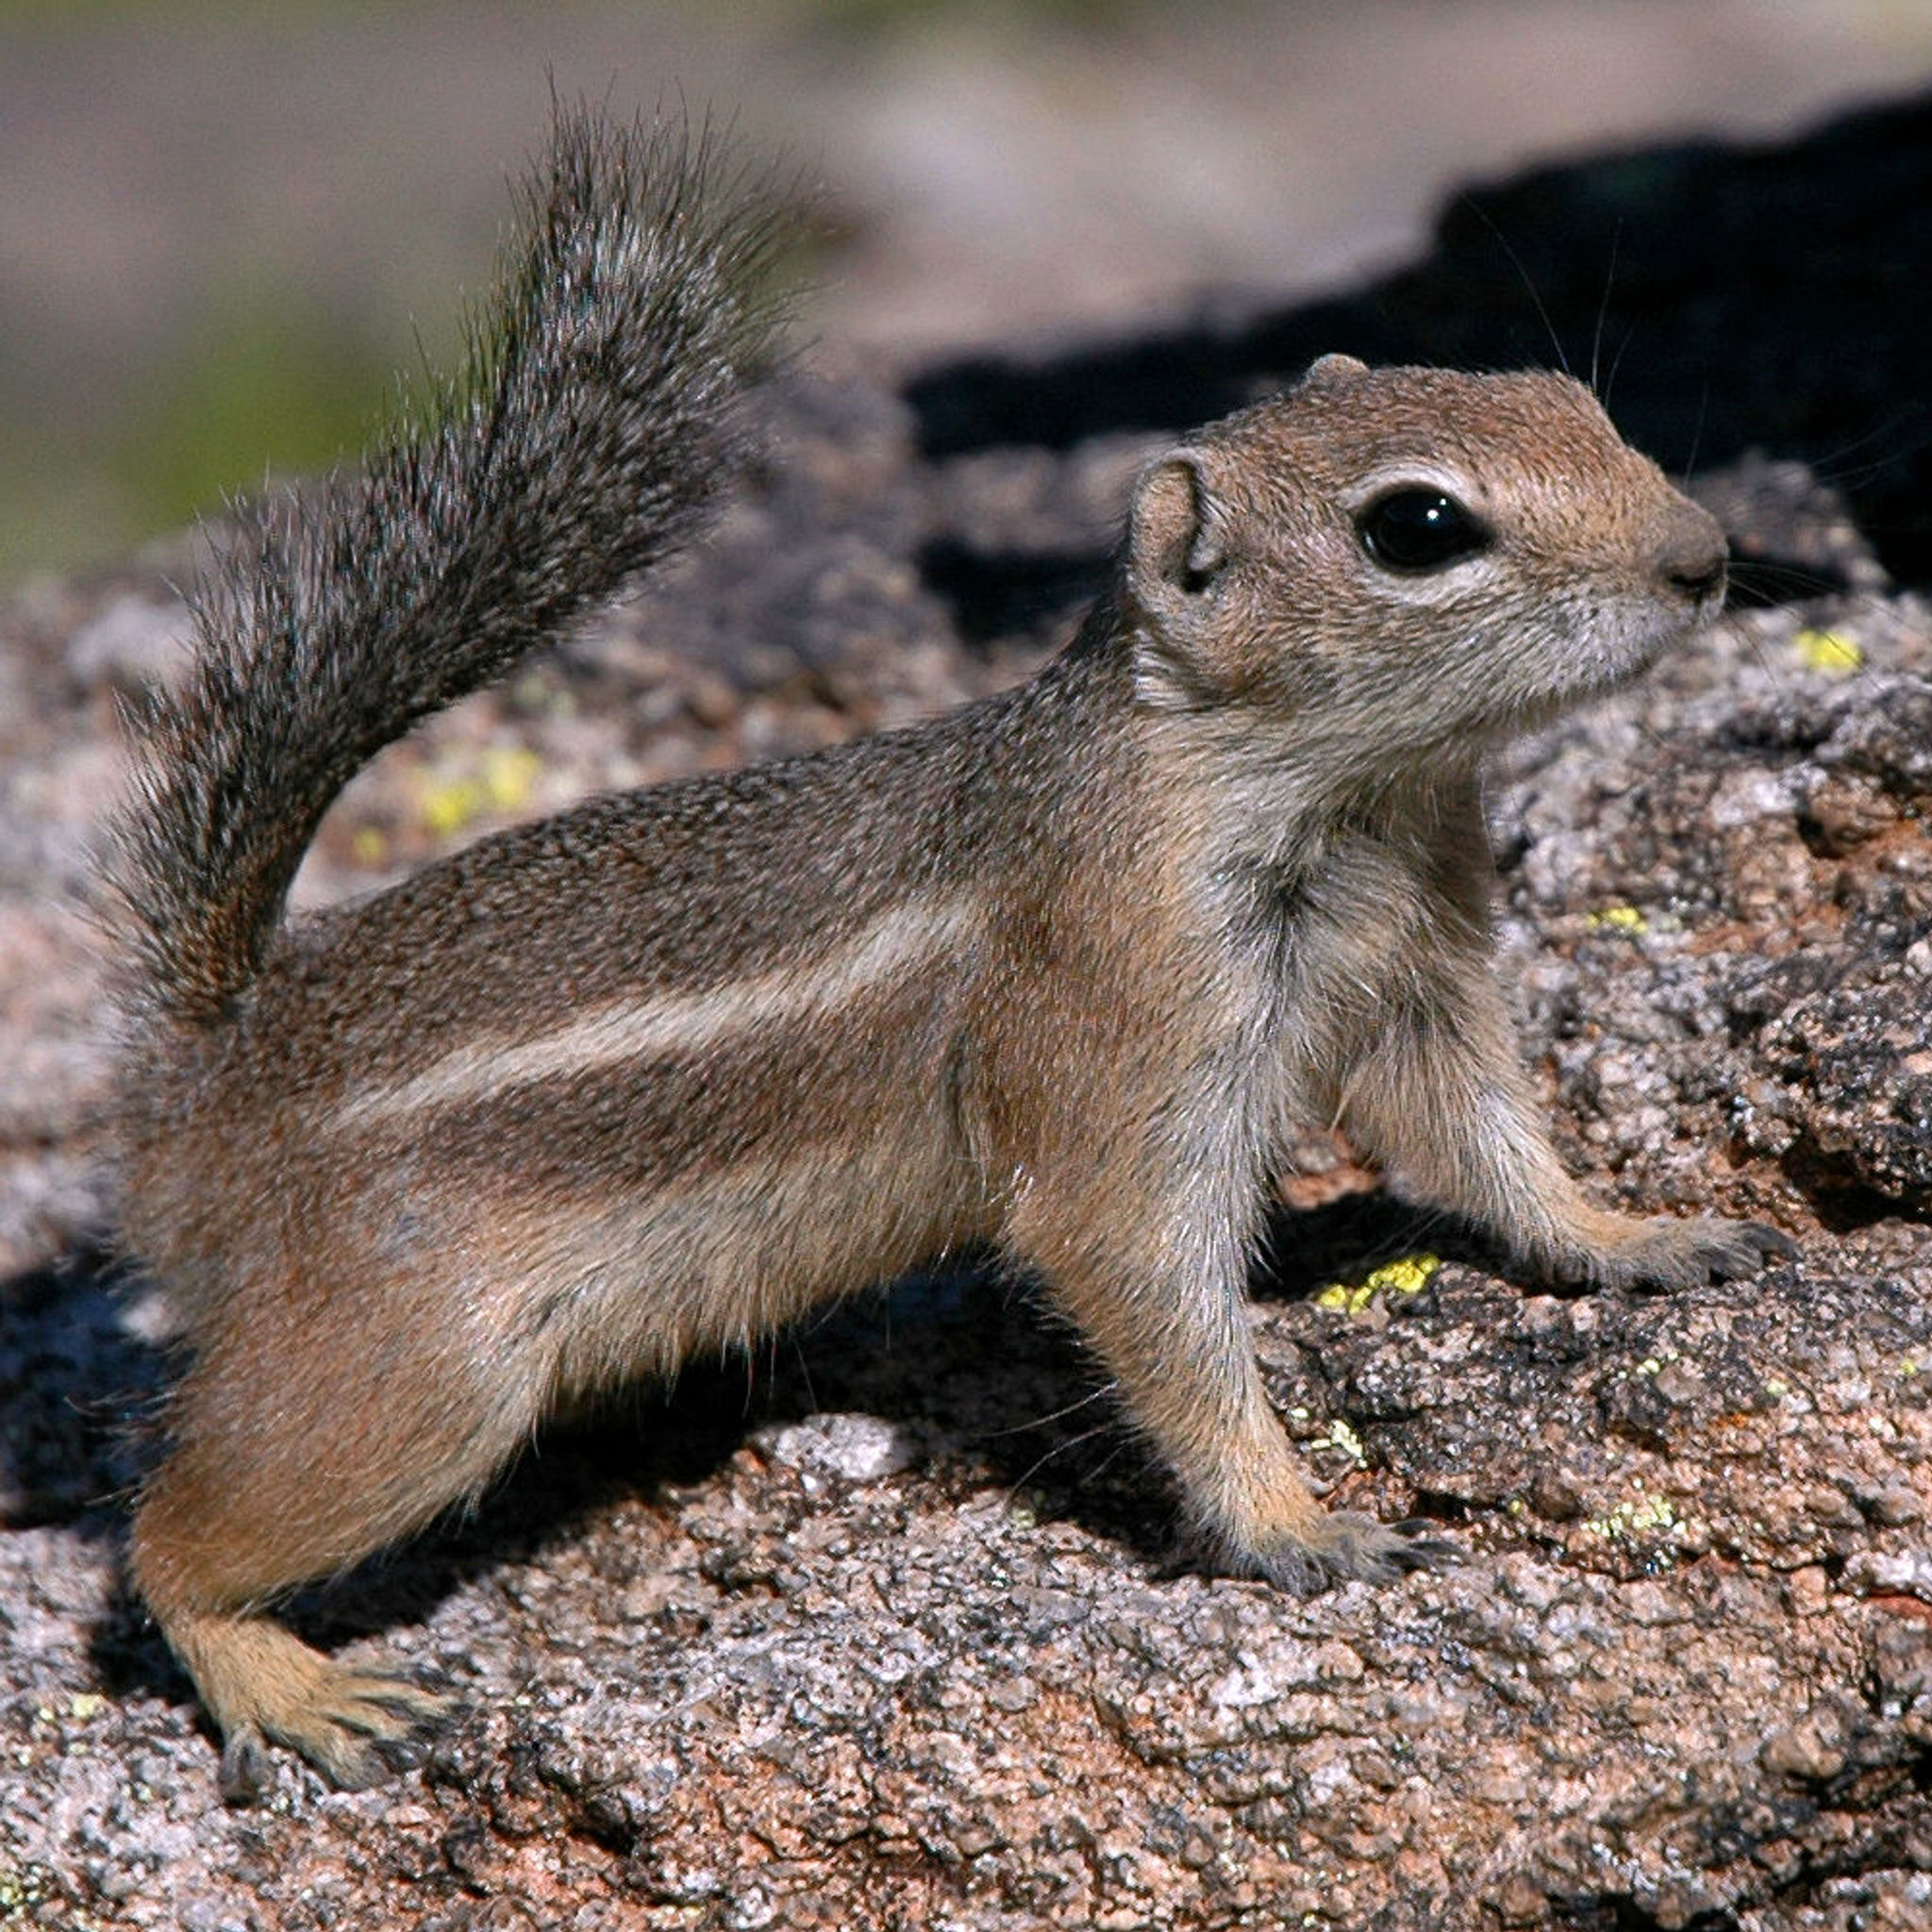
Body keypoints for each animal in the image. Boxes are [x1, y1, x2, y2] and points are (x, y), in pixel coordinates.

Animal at [106, 109, 1785, 1792]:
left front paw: (1639, 1234)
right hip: (413, 1373)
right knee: (164, 1545)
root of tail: (202, 1087)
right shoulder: (1123, 1025)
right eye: (1418, 527)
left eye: (1575, 402)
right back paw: (295, 1687)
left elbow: (1487, 1139)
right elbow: (1146, 1282)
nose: (1706, 556)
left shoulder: (1422, 972)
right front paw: (1297, 1524)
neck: (1329, 794)